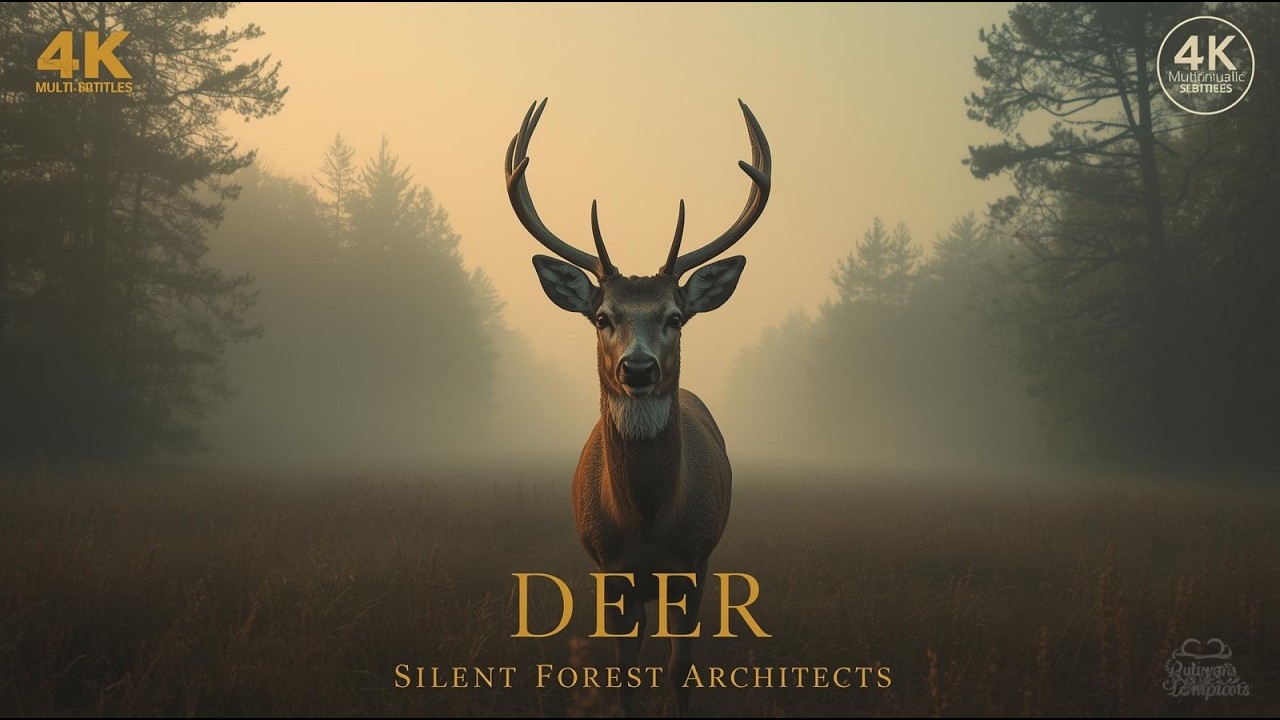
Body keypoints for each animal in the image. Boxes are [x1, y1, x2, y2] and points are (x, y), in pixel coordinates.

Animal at [504, 98, 771, 716]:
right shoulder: (609, 565)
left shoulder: (694, 560)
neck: (647, 520)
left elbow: (679, 670)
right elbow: (622, 675)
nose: (639, 368)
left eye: (675, 317)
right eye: (603, 317)